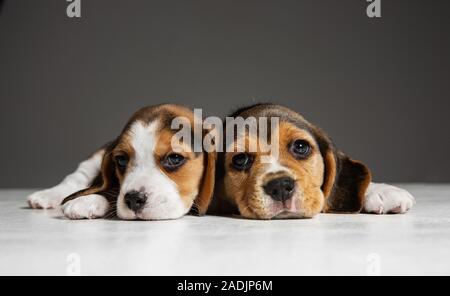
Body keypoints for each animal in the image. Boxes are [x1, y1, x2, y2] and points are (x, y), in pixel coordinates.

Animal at [26, 104, 216, 220]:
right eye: (122, 160)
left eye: (175, 158)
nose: (133, 199)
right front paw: (87, 200)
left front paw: (86, 201)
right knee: (77, 177)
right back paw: (45, 196)